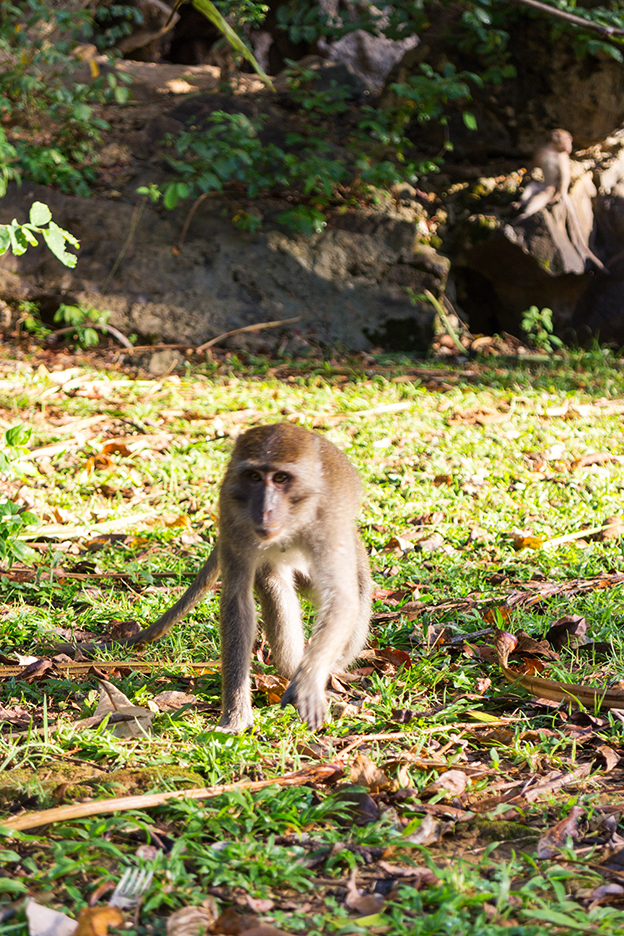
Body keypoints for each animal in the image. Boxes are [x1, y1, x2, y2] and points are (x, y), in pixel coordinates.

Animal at [115, 423, 373, 732]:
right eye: (254, 477)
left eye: (281, 478)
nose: (264, 509)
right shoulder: (233, 516)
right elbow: (237, 600)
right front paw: (236, 712)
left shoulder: (328, 523)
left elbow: (342, 599)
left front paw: (309, 681)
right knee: (272, 581)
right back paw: (291, 670)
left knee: (358, 588)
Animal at [514, 128, 606, 271]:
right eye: (568, 139)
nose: (570, 146)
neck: (553, 150)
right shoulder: (541, 149)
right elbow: (533, 165)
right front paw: (524, 177)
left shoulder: (563, 159)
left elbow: (564, 177)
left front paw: (558, 195)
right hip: (542, 185)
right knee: (533, 186)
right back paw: (521, 203)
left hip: (551, 187)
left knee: (547, 193)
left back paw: (527, 213)